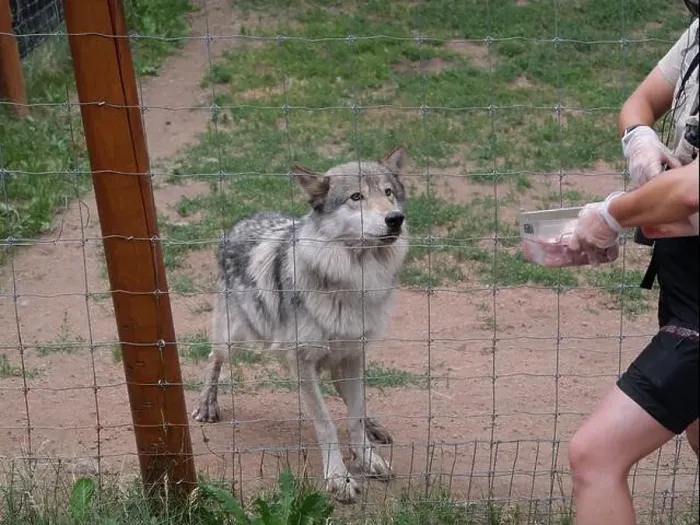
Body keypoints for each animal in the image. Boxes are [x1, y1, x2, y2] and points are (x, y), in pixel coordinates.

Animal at [191, 145, 410, 502]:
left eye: (388, 193)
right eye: (356, 197)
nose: (395, 219)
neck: (353, 280)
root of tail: (243, 219)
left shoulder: (353, 356)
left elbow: (353, 417)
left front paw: (368, 458)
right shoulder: (303, 361)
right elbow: (326, 423)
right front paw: (339, 478)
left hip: (337, 364)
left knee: (354, 401)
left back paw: (374, 426)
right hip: (234, 337)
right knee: (213, 358)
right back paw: (206, 405)